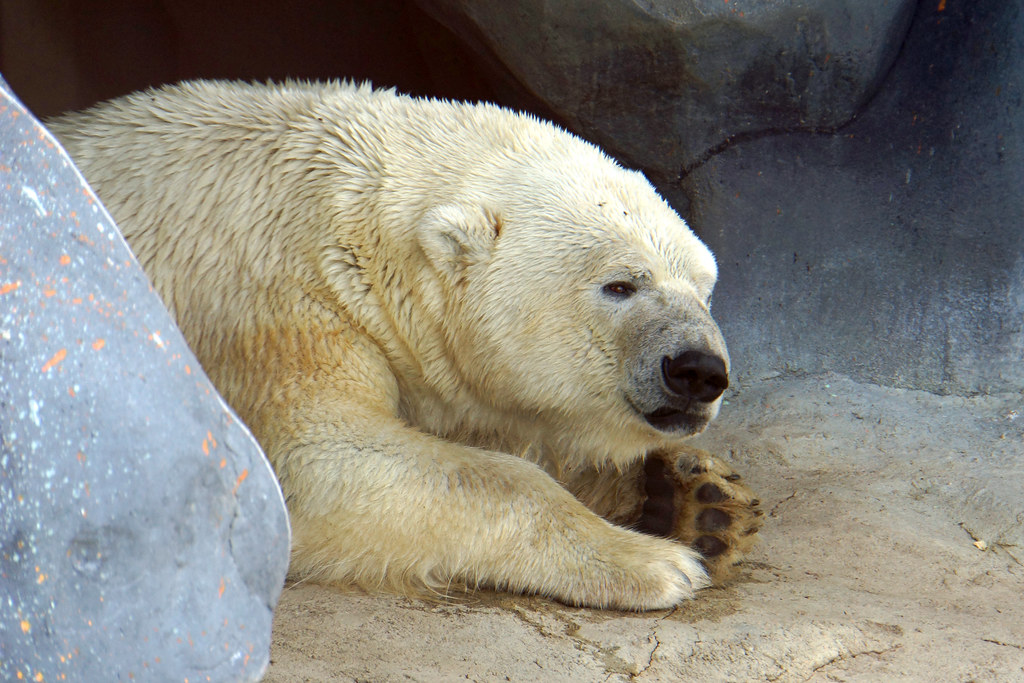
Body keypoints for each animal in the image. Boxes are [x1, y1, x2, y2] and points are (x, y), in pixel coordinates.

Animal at [49, 80, 761, 611]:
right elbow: (317, 462)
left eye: (705, 287)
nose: (698, 370)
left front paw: (698, 502)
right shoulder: (273, 305)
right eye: (620, 283)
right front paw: (657, 562)